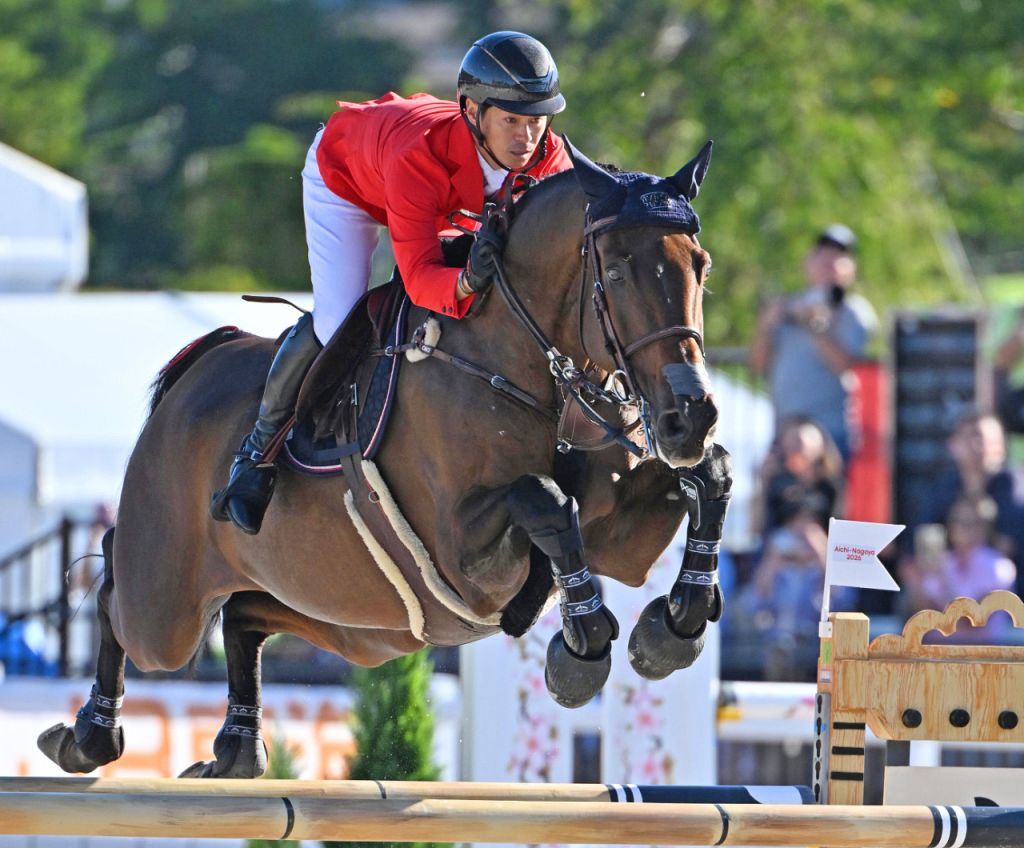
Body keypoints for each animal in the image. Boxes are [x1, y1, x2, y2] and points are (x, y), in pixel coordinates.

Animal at [38, 139, 732, 779]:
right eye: (616, 273)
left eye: (701, 266)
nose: (688, 416)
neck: (516, 361)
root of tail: (199, 367)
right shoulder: (463, 553)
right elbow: (546, 500)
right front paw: (581, 649)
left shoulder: (621, 534)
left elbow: (708, 477)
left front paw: (672, 629)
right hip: (168, 611)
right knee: (116, 591)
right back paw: (88, 736)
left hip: (353, 622)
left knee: (244, 614)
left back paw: (234, 751)